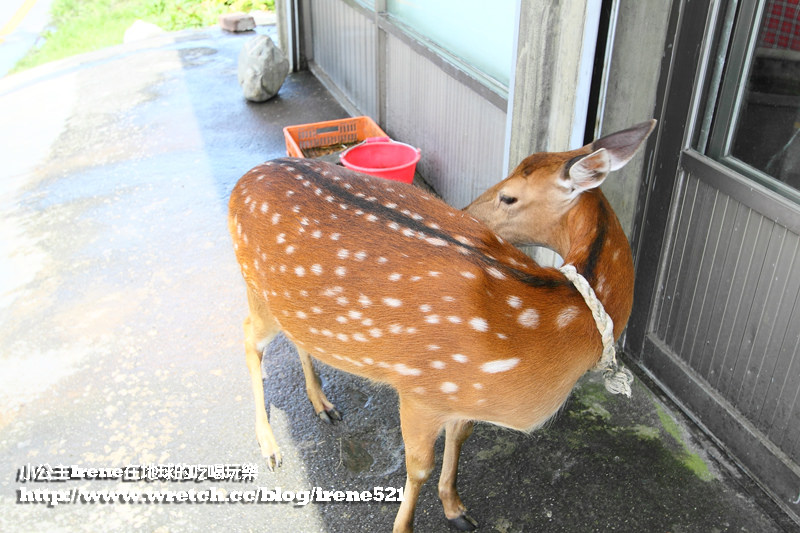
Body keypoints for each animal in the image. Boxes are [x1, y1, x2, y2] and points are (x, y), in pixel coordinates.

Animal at [227, 120, 656, 532]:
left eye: (509, 196)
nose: (466, 210)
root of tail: (245, 179)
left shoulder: (459, 392)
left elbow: (459, 440)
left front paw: (457, 509)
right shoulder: (420, 387)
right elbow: (419, 468)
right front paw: (406, 526)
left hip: (286, 301)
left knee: (294, 336)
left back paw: (323, 404)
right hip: (254, 283)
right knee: (248, 336)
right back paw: (270, 447)